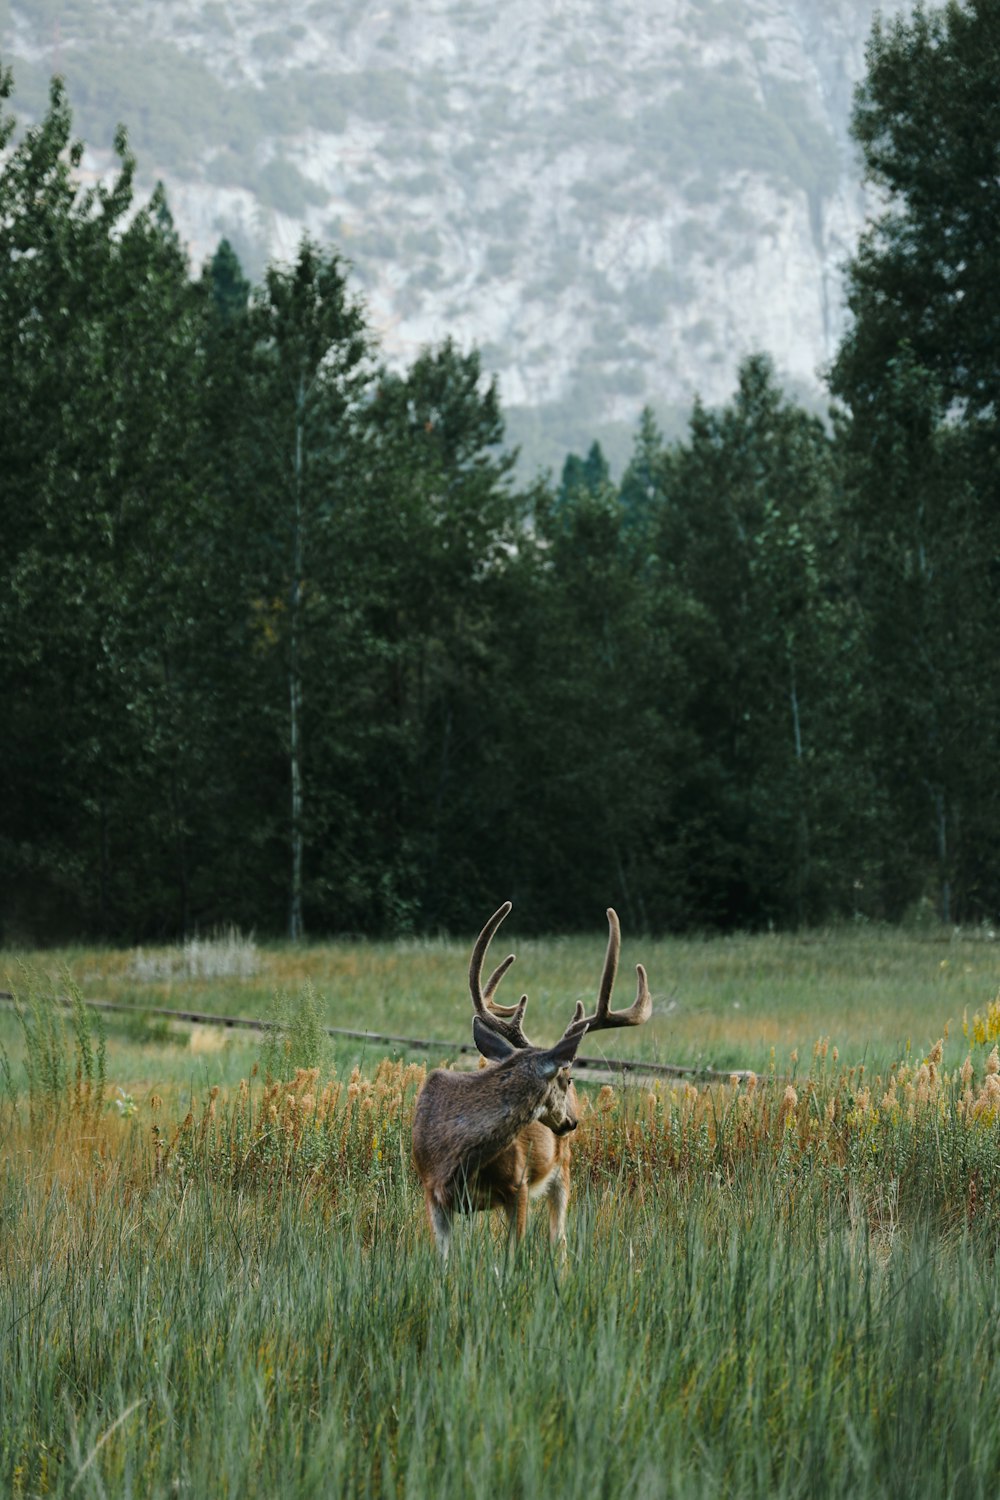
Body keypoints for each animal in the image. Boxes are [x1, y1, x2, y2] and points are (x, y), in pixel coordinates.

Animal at [410, 900, 653, 1266]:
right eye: (568, 1078)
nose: (573, 1121)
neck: (456, 1155)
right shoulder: (431, 1191)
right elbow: (444, 1263)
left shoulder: (518, 1185)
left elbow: (514, 1256)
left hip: (563, 1167)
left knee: (560, 1240)